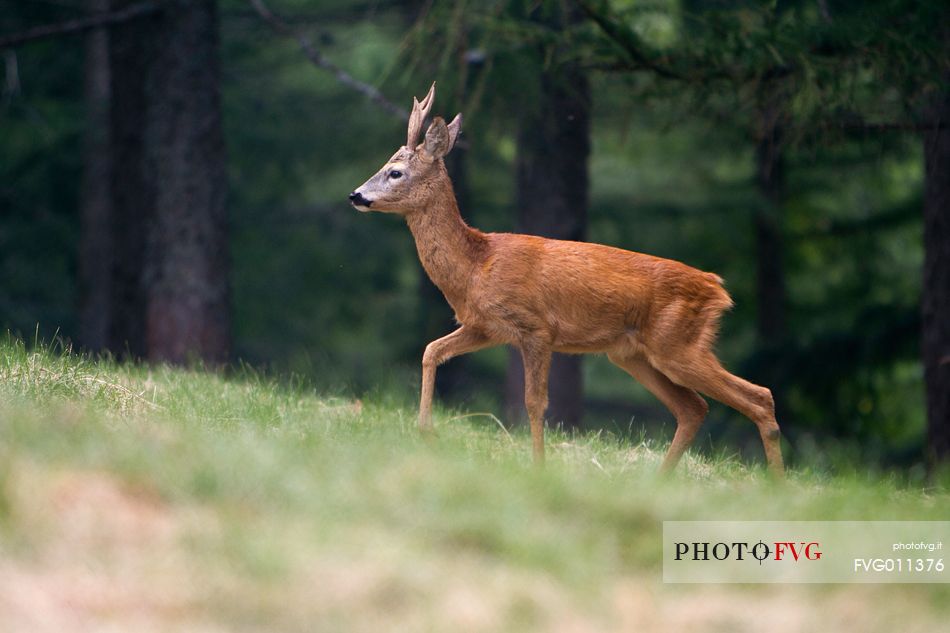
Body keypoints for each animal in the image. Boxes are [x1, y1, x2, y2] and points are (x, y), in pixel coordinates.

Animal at [350, 85, 788, 478]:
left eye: (395, 172)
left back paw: (776, 485)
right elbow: (431, 351)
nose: (356, 195)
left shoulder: (536, 328)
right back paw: (660, 481)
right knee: (694, 408)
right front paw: (426, 431)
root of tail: (718, 288)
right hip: (633, 354)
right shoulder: (485, 326)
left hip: (677, 345)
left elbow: (534, 402)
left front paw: (539, 465)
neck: (476, 264)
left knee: (759, 397)